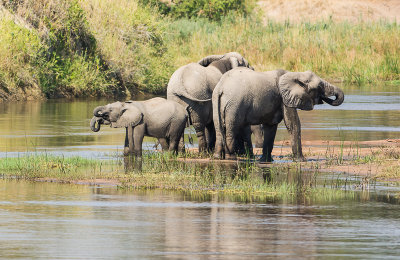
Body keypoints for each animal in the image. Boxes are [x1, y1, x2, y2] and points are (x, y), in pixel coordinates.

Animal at [212, 68, 344, 162]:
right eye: (320, 86)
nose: (325, 98)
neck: (294, 74)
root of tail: (220, 88)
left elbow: (271, 127)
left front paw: (266, 161)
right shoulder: (284, 98)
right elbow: (293, 124)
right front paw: (301, 161)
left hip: (216, 103)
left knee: (219, 129)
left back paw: (217, 157)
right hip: (235, 104)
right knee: (231, 129)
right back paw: (231, 157)